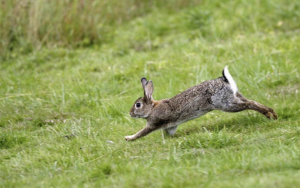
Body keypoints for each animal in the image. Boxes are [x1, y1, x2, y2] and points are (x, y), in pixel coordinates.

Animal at [124, 66, 276, 141]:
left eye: (138, 105)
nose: (130, 113)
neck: (151, 108)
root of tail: (224, 80)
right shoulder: (171, 126)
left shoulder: (152, 124)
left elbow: (141, 132)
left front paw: (128, 138)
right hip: (234, 97)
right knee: (251, 101)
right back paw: (272, 114)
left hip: (226, 104)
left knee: (249, 104)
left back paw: (268, 115)